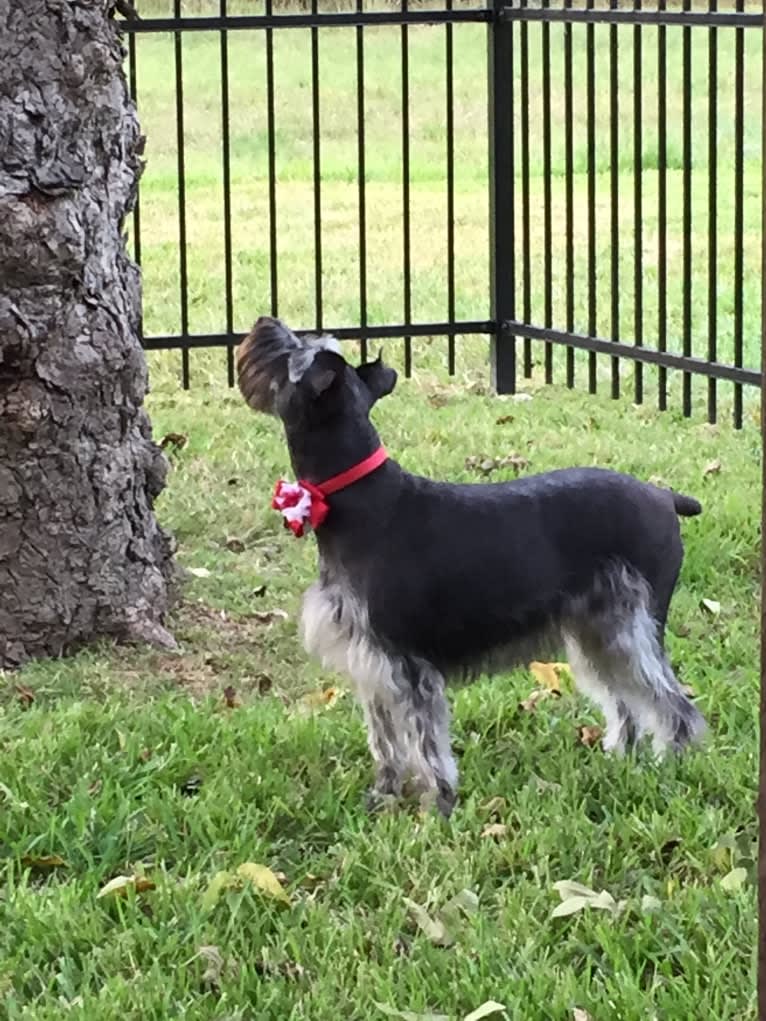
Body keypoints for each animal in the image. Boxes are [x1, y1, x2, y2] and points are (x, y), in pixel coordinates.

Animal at [238, 314, 706, 816]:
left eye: (294, 351)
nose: (265, 322)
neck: (360, 501)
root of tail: (664, 496)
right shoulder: (371, 663)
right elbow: (385, 740)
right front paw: (383, 795)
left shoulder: (407, 666)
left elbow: (425, 742)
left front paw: (436, 806)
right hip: (597, 633)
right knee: (626, 702)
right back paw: (621, 755)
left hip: (631, 628)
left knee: (672, 704)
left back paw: (671, 765)